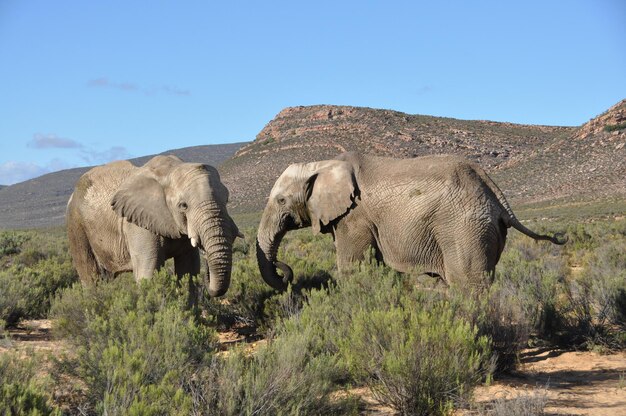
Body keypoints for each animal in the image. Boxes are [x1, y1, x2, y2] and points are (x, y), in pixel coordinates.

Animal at [66, 154, 239, 298]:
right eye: (183, 205)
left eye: (227, 199)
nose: (205, 253)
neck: (170, 171)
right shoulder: (138, 224)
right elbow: (148, 274)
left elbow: (189, 272)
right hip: (76, 224)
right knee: (91, 277)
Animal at [255, 151, 564, 290]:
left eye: (281, 201)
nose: (284, 272)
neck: (322, 164)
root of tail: (495, 192)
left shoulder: (355, 218)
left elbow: (353, 268)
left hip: (464, 226)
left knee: (467, 282)